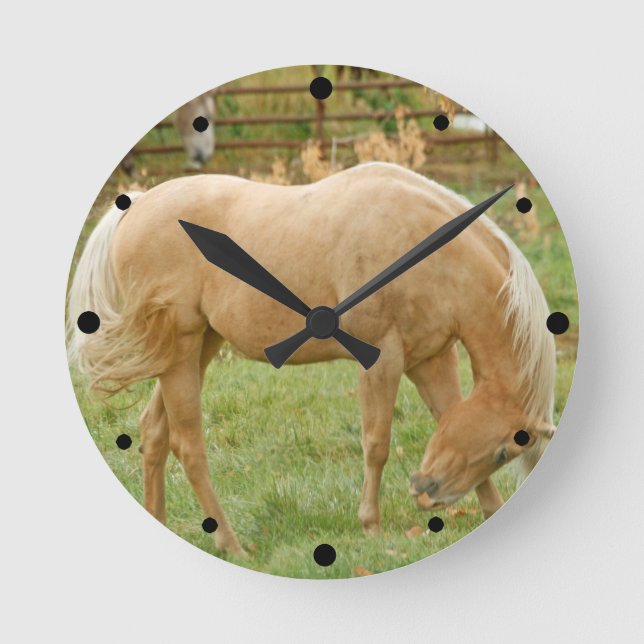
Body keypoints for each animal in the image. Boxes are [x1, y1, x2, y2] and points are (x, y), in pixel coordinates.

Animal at [67, 162, 556, 556]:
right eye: (504, 450)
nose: (425, 492)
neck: (431, 254)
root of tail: (137, 204)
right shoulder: (383, 360)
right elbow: (376, 443)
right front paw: (371, 527)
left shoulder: (431, 359)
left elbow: (447, 418)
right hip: (182, 351)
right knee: (188, 446)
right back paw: (231, 543)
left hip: (197, 347)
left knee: (154, 432)